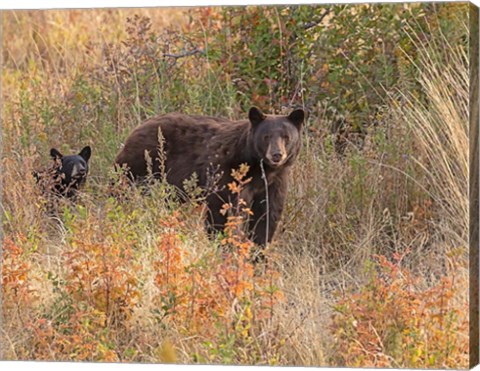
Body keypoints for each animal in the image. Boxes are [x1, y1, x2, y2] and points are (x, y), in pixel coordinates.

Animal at [116, 107, 304, 247]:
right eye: (266, 137)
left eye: (286, 137)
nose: (277, 154)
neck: (259, 168)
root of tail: (137, 128)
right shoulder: (225, 172)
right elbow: (221, 208)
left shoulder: (274, 183)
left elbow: (267, 215)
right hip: (139, 166)